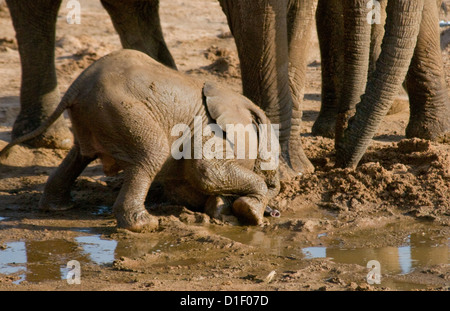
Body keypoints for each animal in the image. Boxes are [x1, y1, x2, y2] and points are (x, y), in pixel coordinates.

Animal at [0, 50, 280, 233]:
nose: (275, 212)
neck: (237, 99)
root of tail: (75, 87)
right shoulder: (209, 130)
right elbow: (205, 173)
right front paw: (250, 214)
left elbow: (188, 187)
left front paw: (224, 208)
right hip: (119, 109)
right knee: (152, 154)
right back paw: (145, 225)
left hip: (96, 114)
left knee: (78, 156)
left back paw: (58, 208)